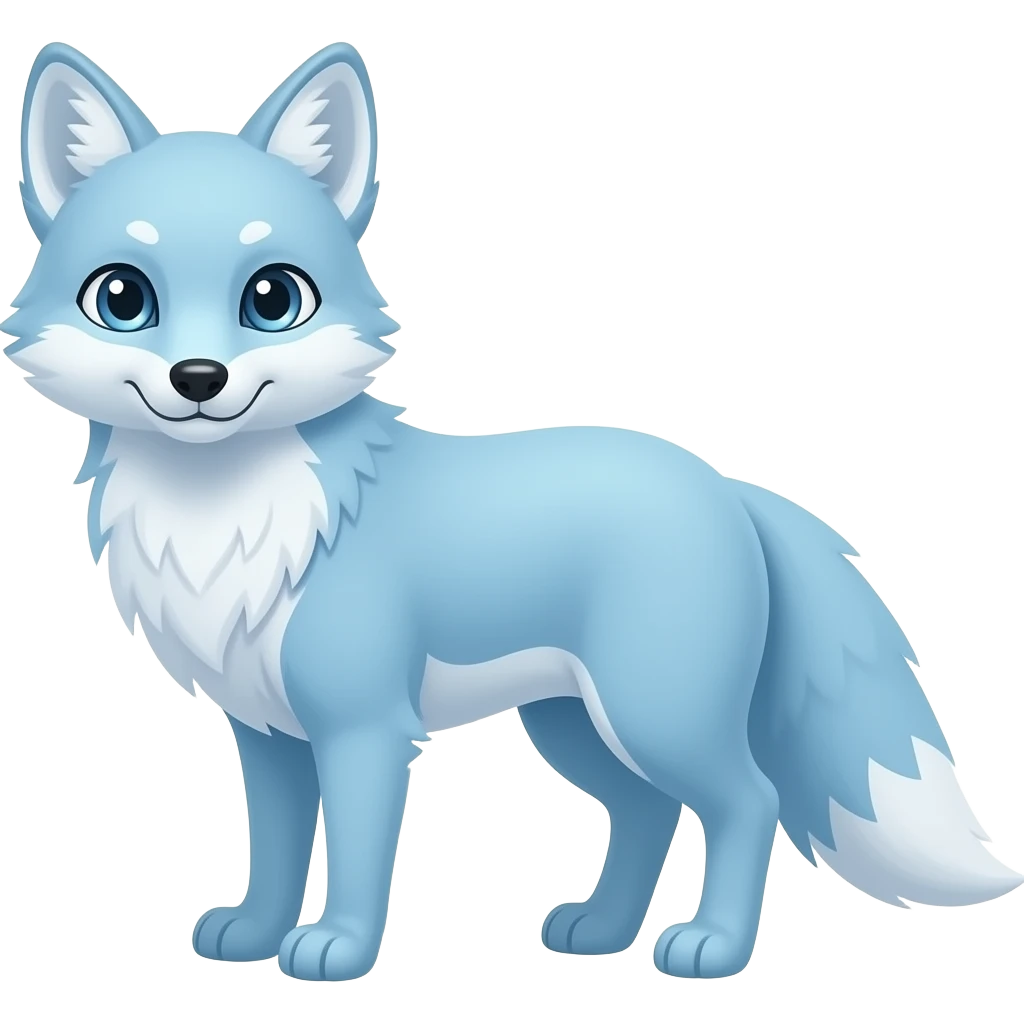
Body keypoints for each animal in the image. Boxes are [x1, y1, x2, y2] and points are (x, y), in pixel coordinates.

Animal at [6, 40, 1020, 984]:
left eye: (272, 298)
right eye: (123, 297)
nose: (199, 379)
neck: (229, 524)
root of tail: (726, 484)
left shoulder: (365, 727)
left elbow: (358, 853)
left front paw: (338, 948)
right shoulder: (265, 733)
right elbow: (279, 845)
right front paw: (254, 935)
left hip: (654, 712)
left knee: (748, 800)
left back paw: (712, 948)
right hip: (575, 723)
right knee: (649, 808)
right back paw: (602, 932)